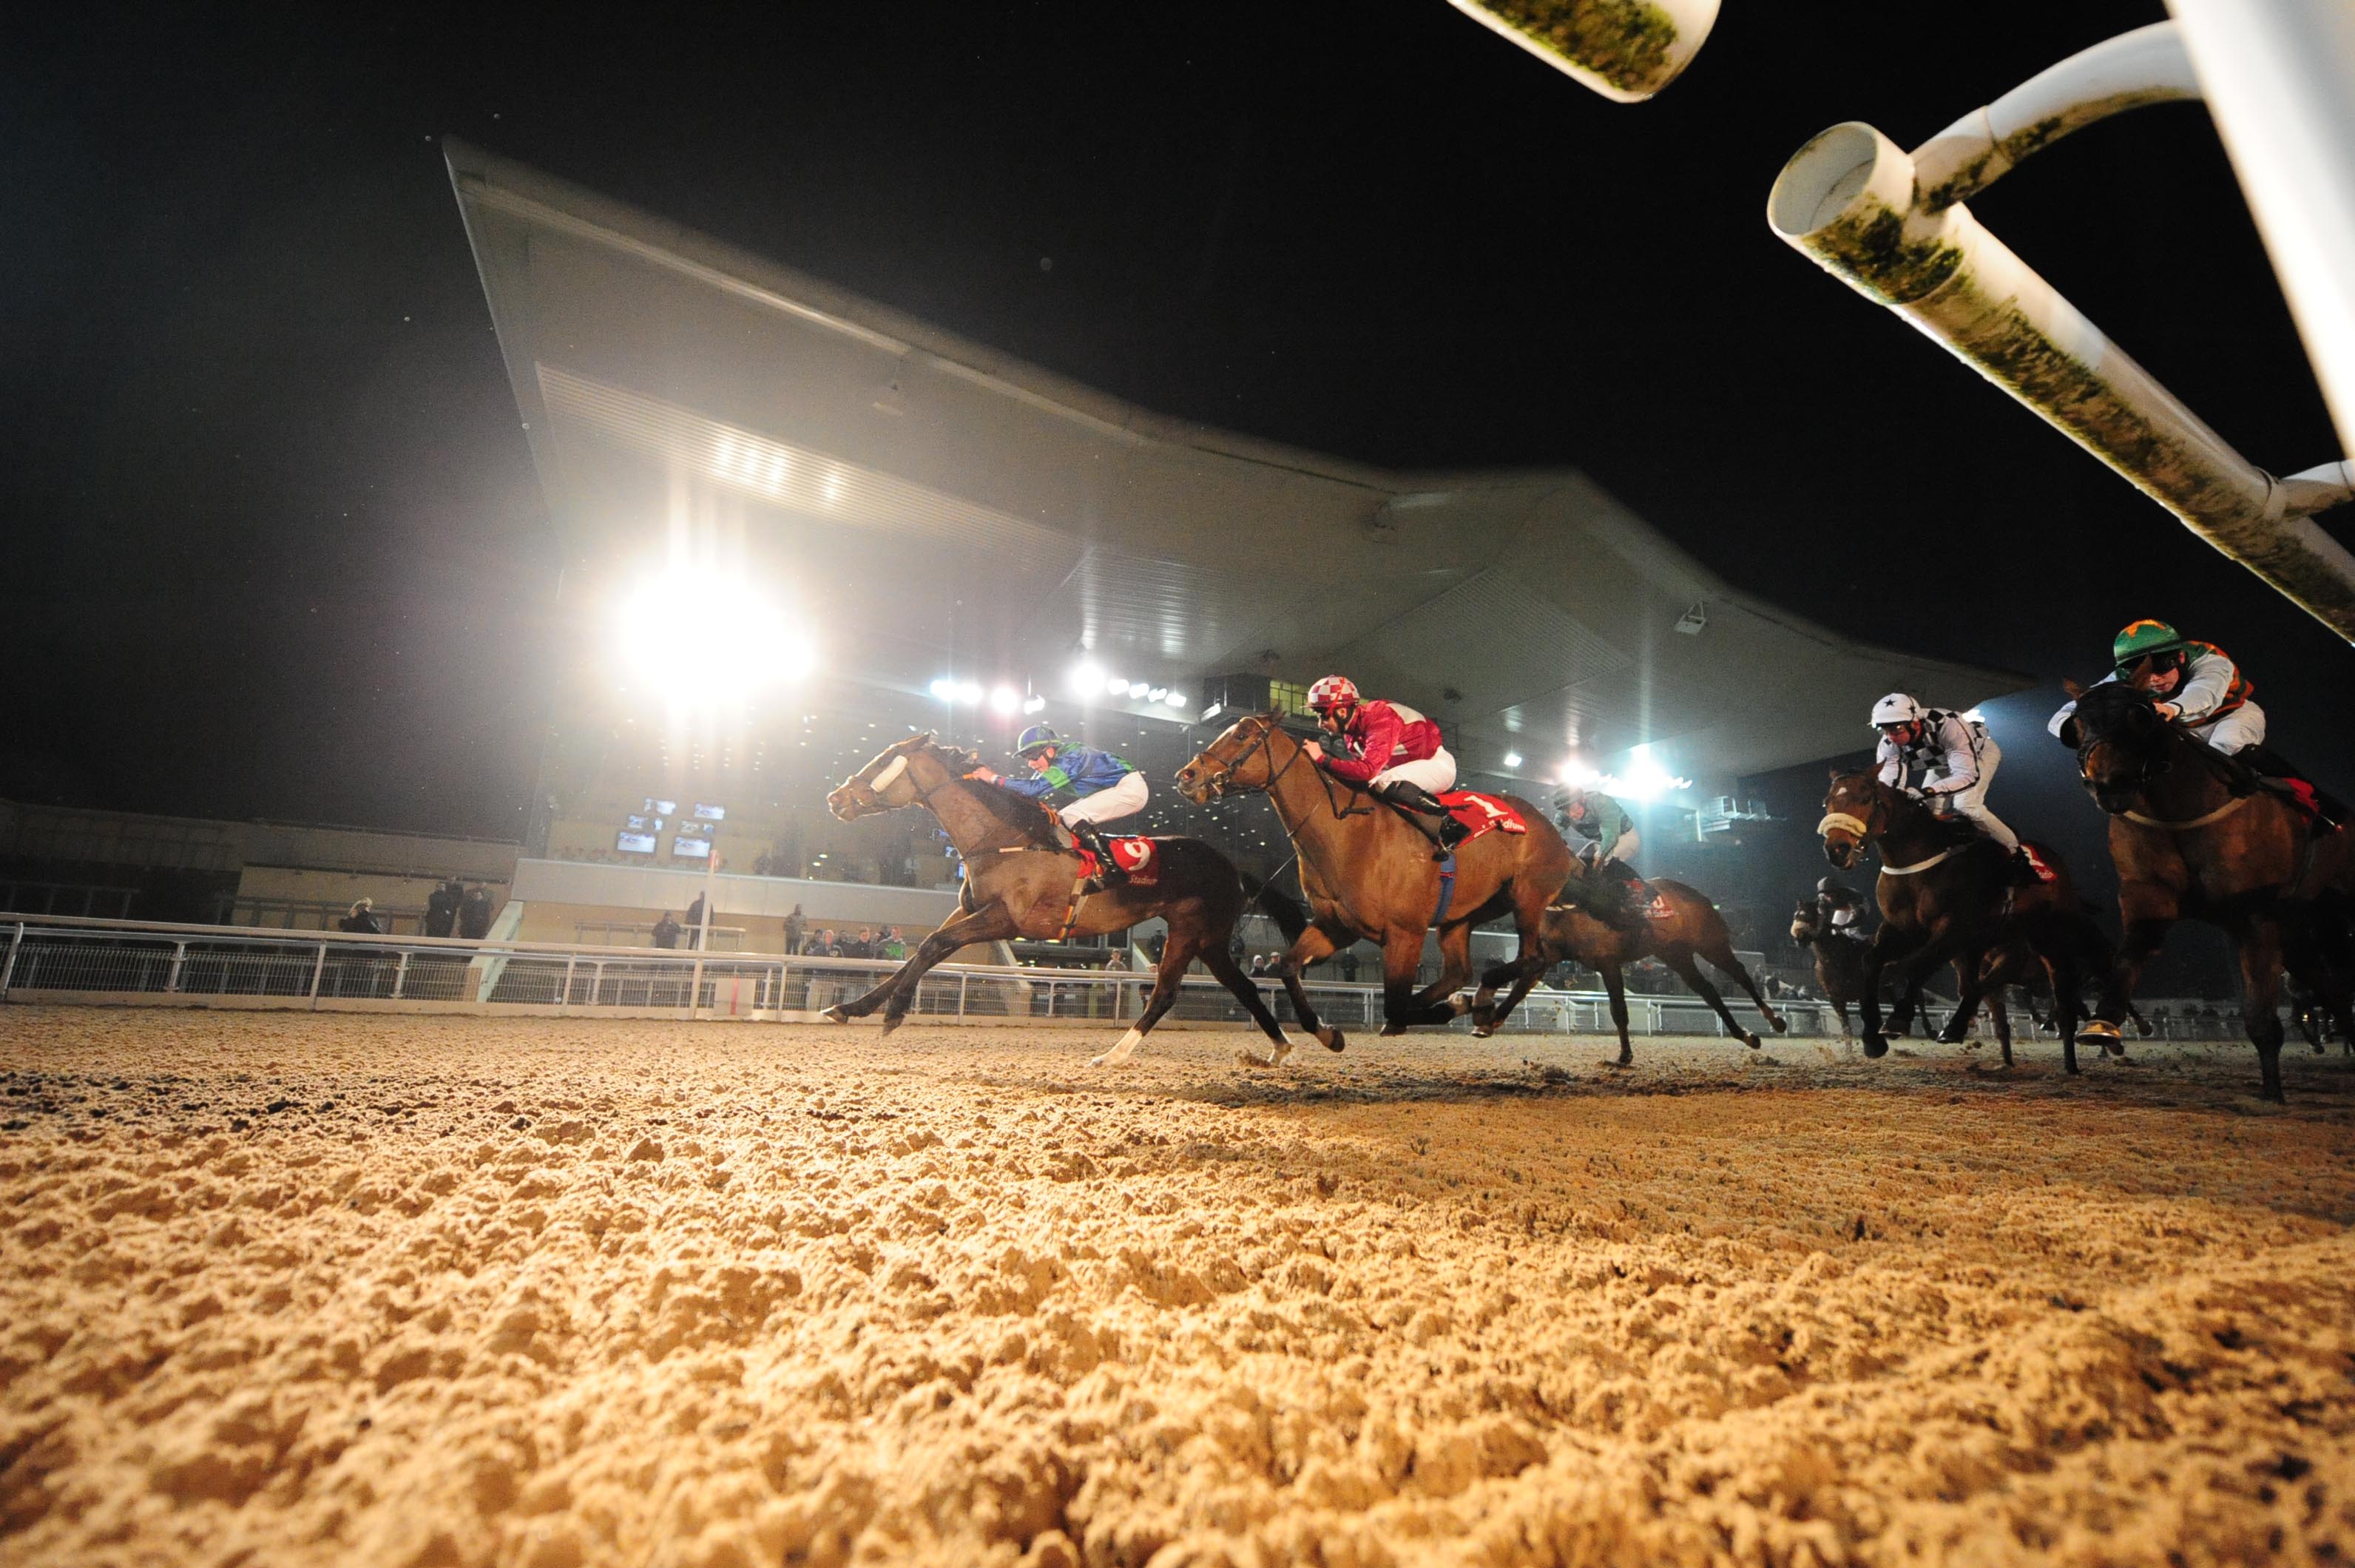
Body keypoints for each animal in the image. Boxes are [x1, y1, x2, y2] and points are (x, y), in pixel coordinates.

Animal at [814, 734, 1290, 1064]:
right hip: (1207, 940)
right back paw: (1280, 1049)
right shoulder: (968, 909)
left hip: (1193, 931)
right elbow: (917, 954)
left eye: (882, 762)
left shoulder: (1008, 920)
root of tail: (1231, 866)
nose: (835, 798)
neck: (1003, 837)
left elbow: (932, 946)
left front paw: (894, 1013)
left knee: (1169, 993)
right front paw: (851, 1008)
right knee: (1240, 986)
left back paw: (1114, 1055)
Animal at [1172, 711, 1572, 1055]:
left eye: (1241, 735)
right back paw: (1480, 1008)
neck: (1349, 831)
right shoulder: (1337, 926)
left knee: (1533, 959)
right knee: (1464, 971)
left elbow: (1394, 1006)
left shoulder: (1405, 933)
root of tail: (1555, 834)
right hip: (1462, 917)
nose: (1186, 776)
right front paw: (1328, 1033)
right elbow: (1285, 966)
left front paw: (1457, 1008)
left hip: (1527, 897)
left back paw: (1486, 1003)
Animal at [1460, 862, 1789, 1069]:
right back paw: (1746, 1035)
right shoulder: (1546, 959)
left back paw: (1775, 1020)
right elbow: (1517, 992)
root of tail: (1698, 895)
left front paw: (1624, 1056)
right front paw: (1487, 1020)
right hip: (1676, 954)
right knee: (1709, 991)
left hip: (1711, 945)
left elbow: (1619, 1011)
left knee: (1741, 975)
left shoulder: (1608, 963)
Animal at [1808, 767, 2109, 1064]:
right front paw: (1872, 1040)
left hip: (2043, 942)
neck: (1917, 859)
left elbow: (1917, 965)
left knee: (2055, 994)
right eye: (1827, 802)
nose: (1837, 850)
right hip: (1981, 948)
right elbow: (1871, 962)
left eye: (1865, 799)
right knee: (1977, 985)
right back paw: (1959, 1026)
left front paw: (1898, 1019)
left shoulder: (1953, 927)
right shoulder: (1903, 929)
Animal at [2053, 673, 2345, 1097]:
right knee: (2331, 987)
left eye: (2140, 718)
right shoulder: (2148, 896)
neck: (2180, 811)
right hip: (2300, 931)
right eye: (2075, 727)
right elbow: (2130, 954)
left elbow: (2261, 1017)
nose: (2109, 784)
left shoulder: (2255, 913)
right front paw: (2102, 1024)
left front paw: (2272, 1094)